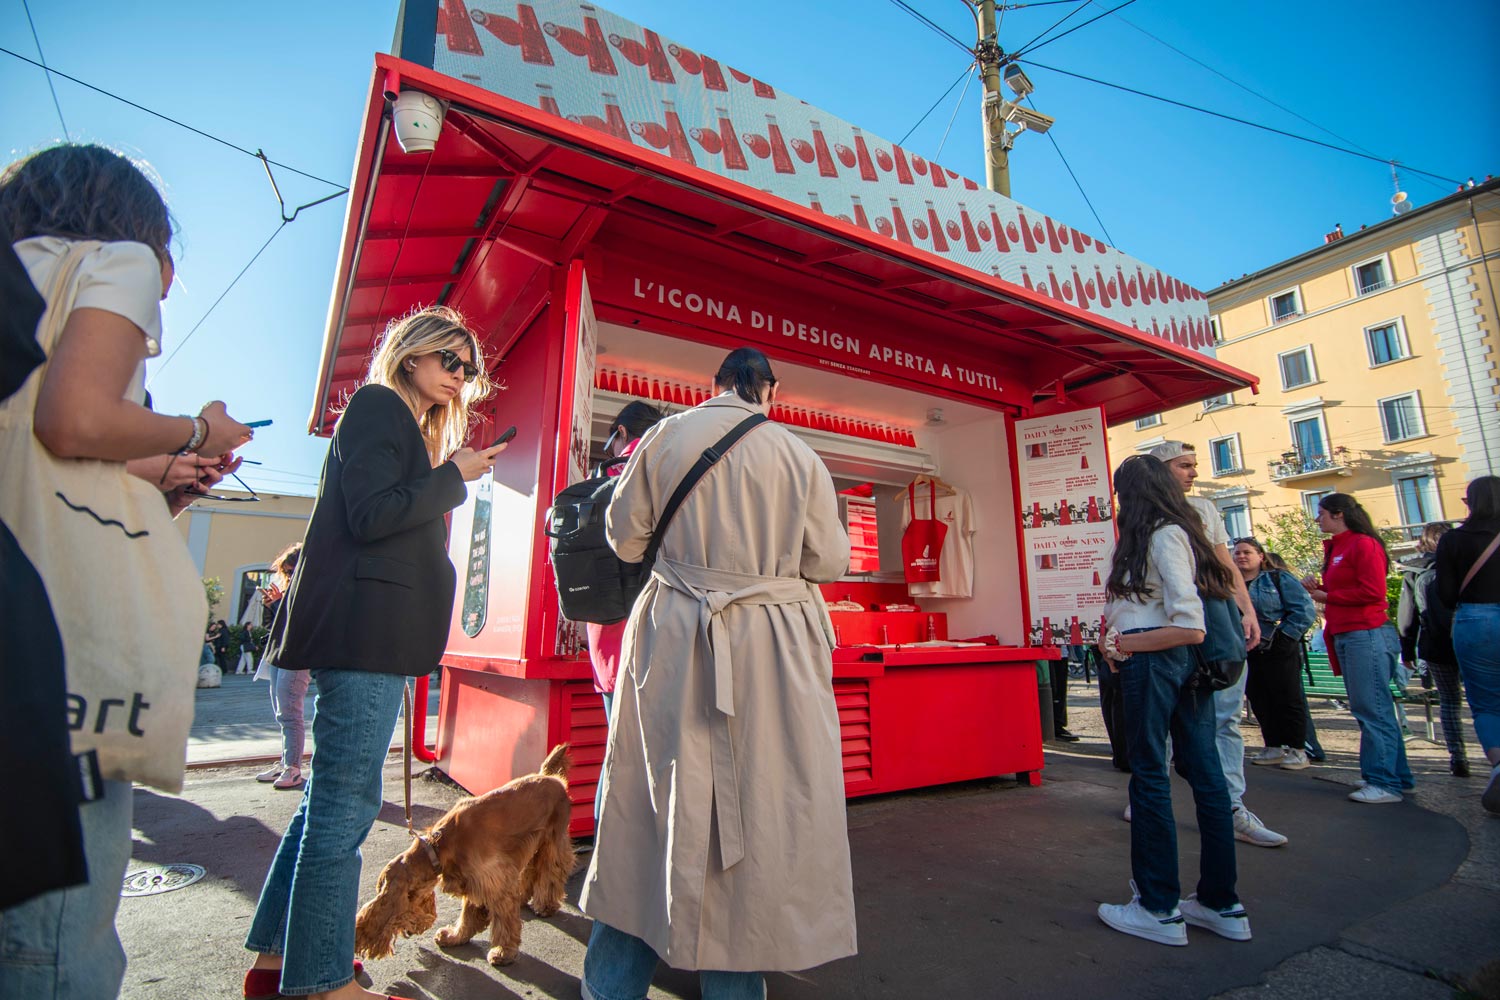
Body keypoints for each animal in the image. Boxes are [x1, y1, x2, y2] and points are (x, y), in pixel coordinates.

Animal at [354, 746, 576, 965]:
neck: (439, 846)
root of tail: (548, 775)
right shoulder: (474, 881)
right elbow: (468, 916)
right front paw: (455, 937)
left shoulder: (493, 880)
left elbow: (503, 920)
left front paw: (503, 952)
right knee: (530, 872)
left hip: (553, 842)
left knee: (551, 873)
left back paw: (545, 905)